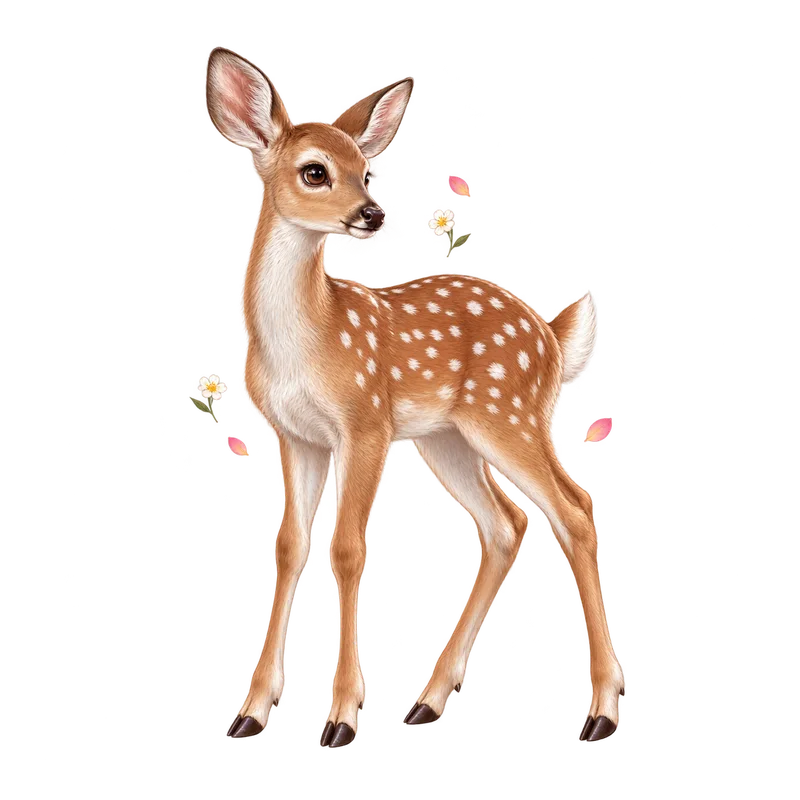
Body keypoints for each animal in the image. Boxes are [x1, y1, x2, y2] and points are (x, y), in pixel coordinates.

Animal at [204, 46, 627, 748]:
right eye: (315, 171)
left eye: (366, 168)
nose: (372, 215)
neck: (308, 340)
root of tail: (547, 335)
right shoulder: (295, 436)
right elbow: (290, 550)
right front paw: (252, 711)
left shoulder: (364, 422)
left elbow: (348, 549)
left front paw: (343, 717)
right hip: (445, 438)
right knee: (506, 524)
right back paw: (428, 701)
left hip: (507, 414)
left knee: (574, 509)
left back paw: (601, 711)